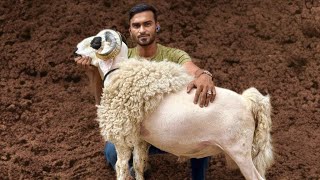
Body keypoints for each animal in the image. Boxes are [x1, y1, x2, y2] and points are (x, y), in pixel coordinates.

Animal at [74, 28, 272, 179]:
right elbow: (137, 165)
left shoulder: (121, 137)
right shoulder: (140, 138)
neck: (116, 72)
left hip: (240, 151)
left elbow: (121, 168)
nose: (75, 50)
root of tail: (248, 102)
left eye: (95, 42)